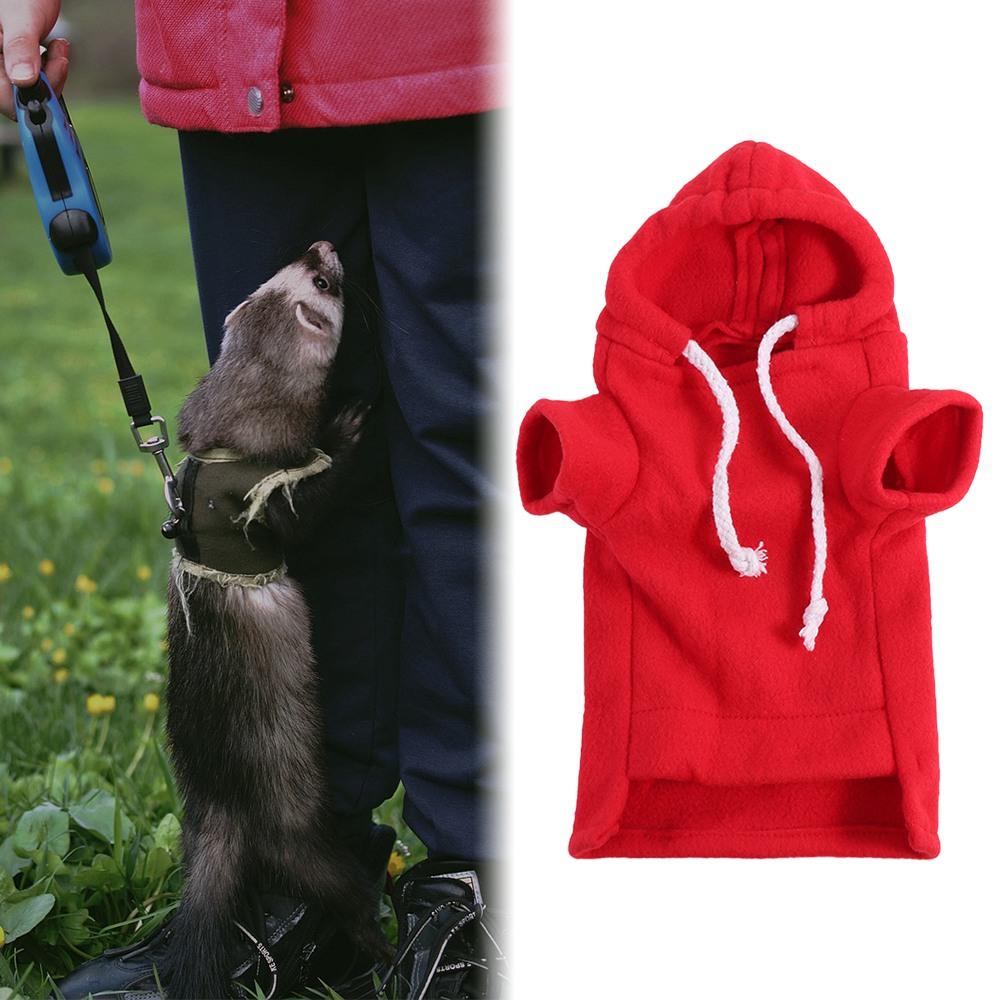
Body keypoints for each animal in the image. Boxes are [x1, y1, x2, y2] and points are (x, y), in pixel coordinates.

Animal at [162, 242, 385, 998]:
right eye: (321, 282)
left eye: (278, 274)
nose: (320, 244)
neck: (230, 444)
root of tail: (221, 811)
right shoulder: (274, 498)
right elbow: (312, 500)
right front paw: (347, 427)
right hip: (311, 846)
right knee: (346, 892)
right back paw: (375, 949)